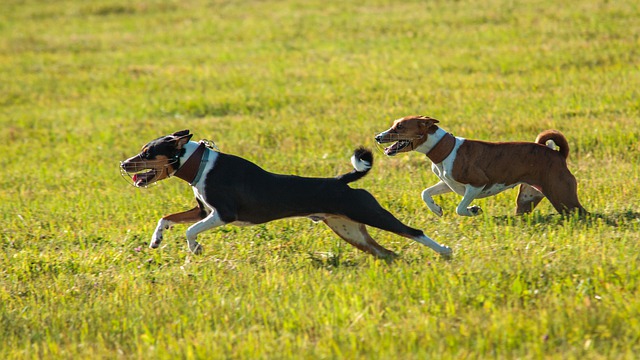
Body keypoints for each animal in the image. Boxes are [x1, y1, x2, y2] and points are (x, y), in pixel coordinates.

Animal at [119, 129, 450, 258]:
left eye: (148, 153)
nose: (123, 164)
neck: (200, 166)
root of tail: (341, 180)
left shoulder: (223, 214)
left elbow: (191, 231)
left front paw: (195, 248)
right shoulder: (202, 211)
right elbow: (166, 218)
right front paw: (156, 240)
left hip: (369, 212)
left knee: (414, 232)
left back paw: (445, 252)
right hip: (348, 228)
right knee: (387, 253)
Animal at [376, 115, 592, 217]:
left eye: (400, 127)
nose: (377, 137)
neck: (445, 149)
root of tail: (558, 154)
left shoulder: (477, 183)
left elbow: (460, 208)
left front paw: (473, 210)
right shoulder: (448, 183)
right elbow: (425, 193)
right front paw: (436, 209)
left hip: (563, 197)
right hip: (528, 198)